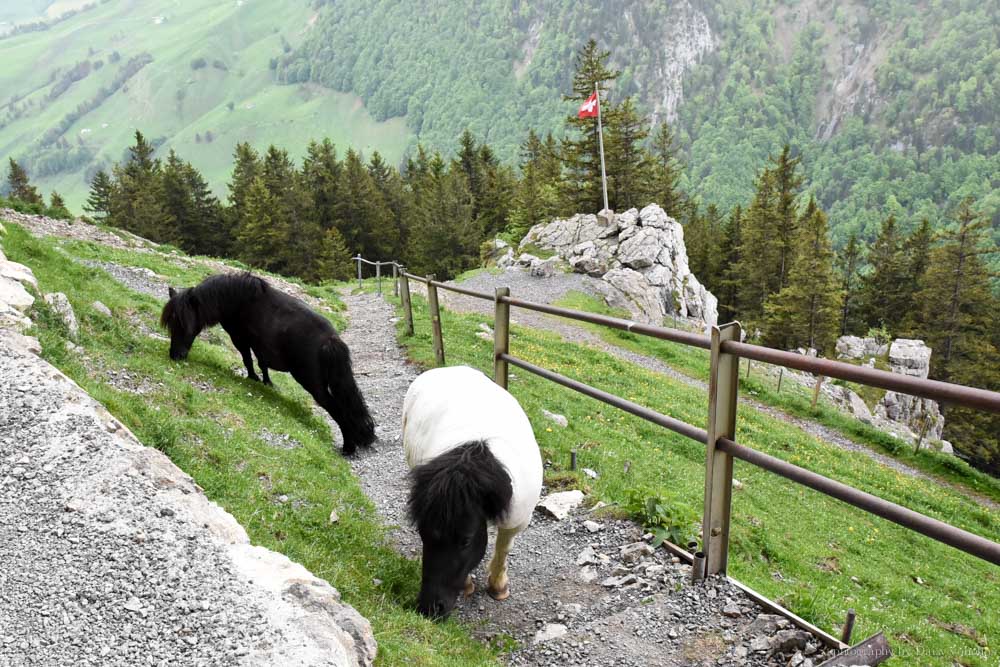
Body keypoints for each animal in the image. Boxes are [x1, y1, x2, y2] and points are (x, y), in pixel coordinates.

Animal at [160, 272, 376, 454]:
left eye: (182, 323)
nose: (175, 355)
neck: (236, 299)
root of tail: (330, 340)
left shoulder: (240, 338)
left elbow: (248, 359)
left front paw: (252, 377)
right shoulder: (259, 346)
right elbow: (262, 363)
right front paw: (266, 382)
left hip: (313, 384)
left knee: (337, 409)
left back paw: (348, 447)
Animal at [402, 368, 544, 620]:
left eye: (466, 540)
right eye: (422, 533)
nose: (430, 609)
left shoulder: (516, 521)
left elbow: (503, 547)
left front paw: (498, 586)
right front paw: (469, 585)